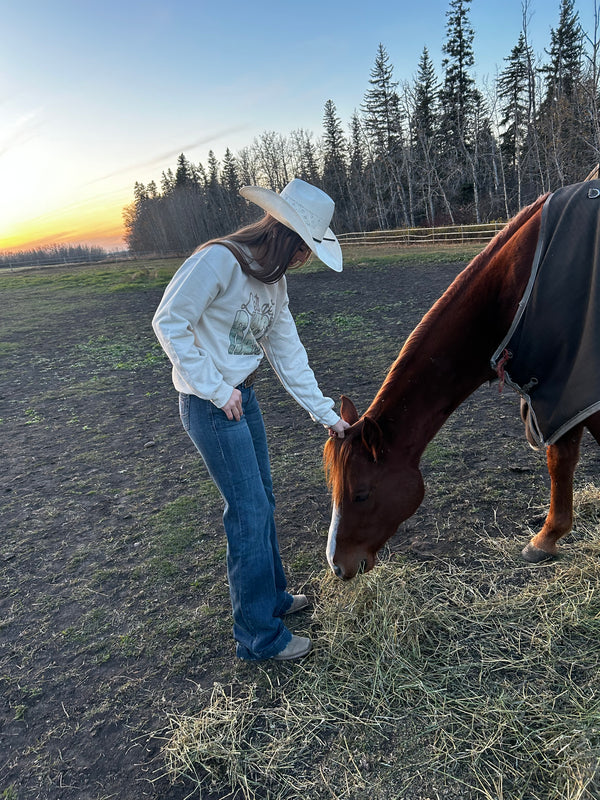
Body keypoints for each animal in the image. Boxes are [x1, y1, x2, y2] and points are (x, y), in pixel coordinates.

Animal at [326, 190, 600, 580]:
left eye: (361, 494)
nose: (336, 564)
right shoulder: (558, 390)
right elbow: (561, 459)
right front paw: (547, 538)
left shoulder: (574, 384)